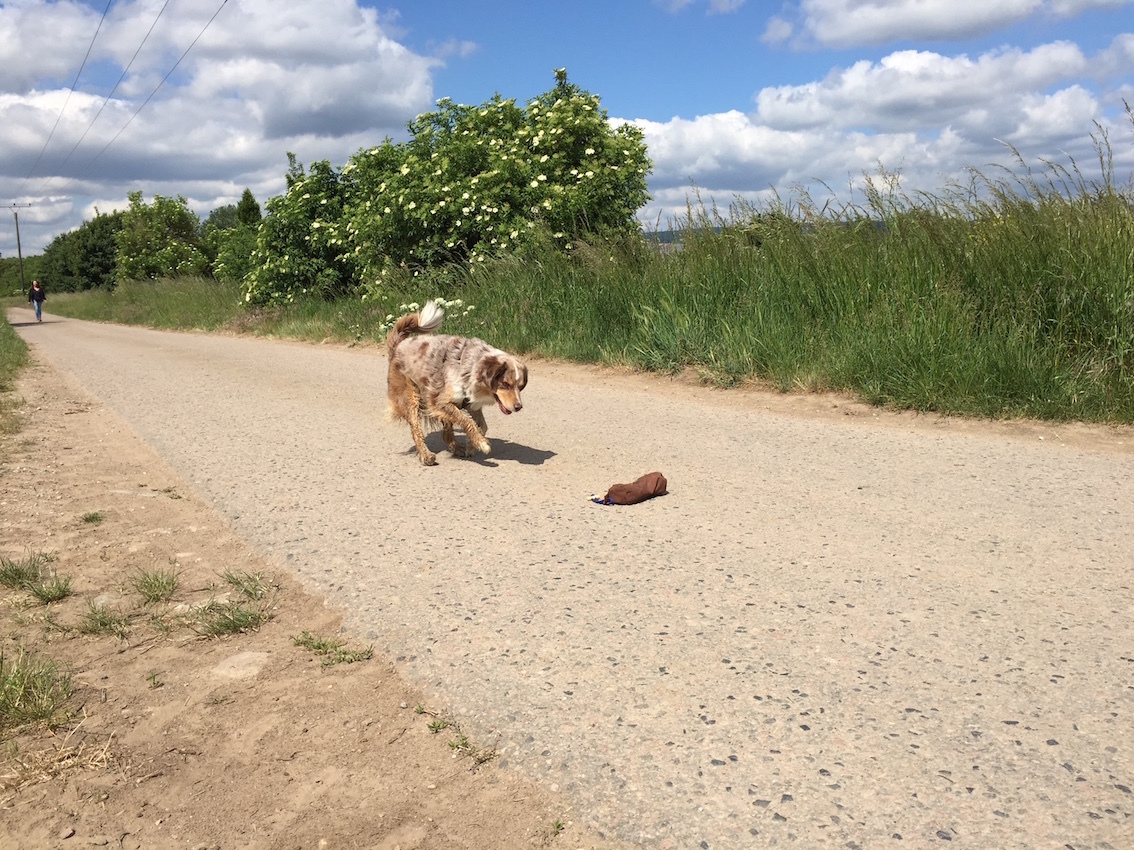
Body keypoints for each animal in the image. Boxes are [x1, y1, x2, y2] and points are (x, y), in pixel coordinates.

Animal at [386, 300, 528, 466]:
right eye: (505, 384)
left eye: (520, 387)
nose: (518, 407)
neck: (471, 367)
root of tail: (398, 344)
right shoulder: (439, 401)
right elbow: (467, 421)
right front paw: (481, 443)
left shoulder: (469, 403)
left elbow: (482, 425)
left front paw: (472, 445)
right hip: (411, 395)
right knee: (416, 428)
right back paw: (426, 455)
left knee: (446, 433)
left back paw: (456, 448)